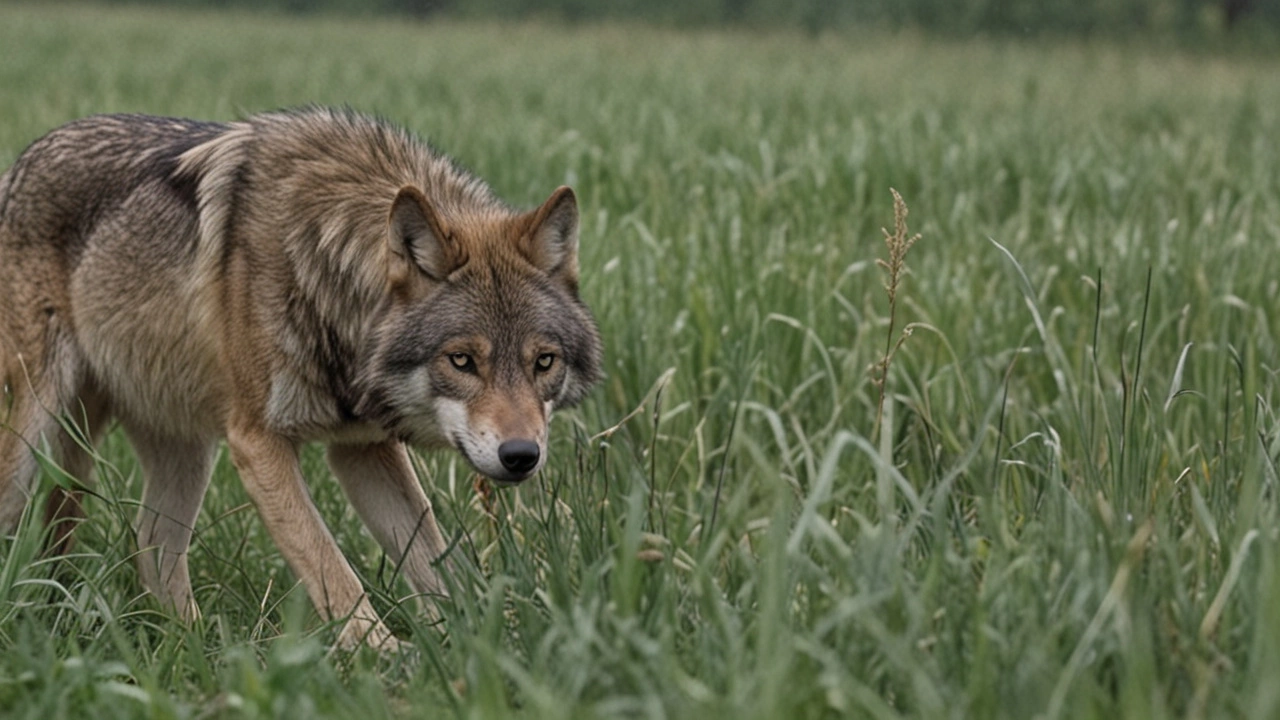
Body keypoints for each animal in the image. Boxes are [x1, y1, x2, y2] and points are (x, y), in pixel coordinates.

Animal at [0, 107, 604, 650]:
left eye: (543, 362)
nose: (521, 455)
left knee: (151, 544)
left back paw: (202, 649)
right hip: (34, 432)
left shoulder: (364, 450)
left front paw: (492, 642)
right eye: (461, 361)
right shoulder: (257, 443)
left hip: (185, 453)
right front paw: (387, 658)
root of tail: (26, 157)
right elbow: (331, 569)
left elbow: (437, 560)